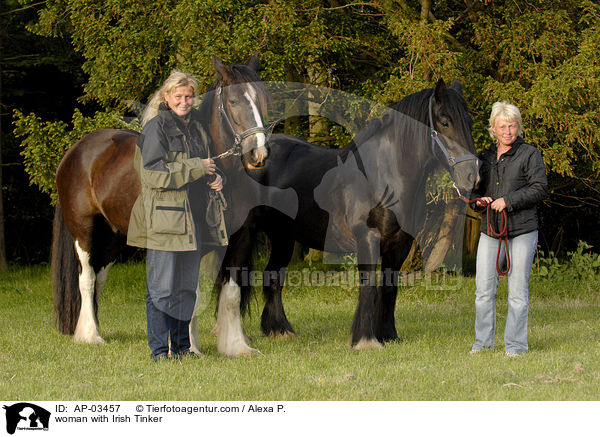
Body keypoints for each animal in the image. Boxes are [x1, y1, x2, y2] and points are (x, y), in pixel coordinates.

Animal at [52, 55, 274, 348]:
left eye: (262, 98)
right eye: (234, 100)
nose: (257, 153)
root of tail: (74, 152)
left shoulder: (239, 240)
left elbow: (231, 294)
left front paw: (236, 346)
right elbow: (193, 294)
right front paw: (191, 346)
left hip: (112, 236)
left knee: (98, 280)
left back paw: (95, 328)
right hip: (84, 232)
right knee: (86, 279)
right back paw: (90, 336)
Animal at [213, 79, 480, 350]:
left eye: (468, 122)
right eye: (445, 121)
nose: (472, 176)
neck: (384, 174)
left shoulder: (400, 244)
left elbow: (390, 288)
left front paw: (389, 335)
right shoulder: (368, 239)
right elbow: (369, 287)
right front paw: (365, 340)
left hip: (283, 237)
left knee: (273, 277)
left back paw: (280, 330)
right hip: (245, 232)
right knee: (232, 276)